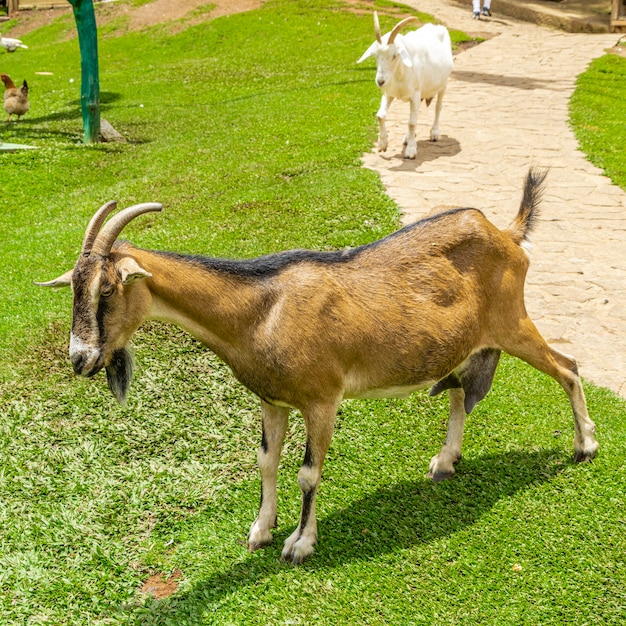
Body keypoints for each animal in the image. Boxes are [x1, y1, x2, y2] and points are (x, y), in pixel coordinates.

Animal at [37, 168, 596, 564]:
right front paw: (260, 531)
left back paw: (585, 445)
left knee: (568, 366)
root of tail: (507, 233)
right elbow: (265, 461)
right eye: (73, 287)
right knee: (461, 391)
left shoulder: (322, 399)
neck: (261, 312)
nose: (80, 359)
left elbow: (308, 473)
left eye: (107, 290)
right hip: (462, 346)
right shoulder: (272, 399)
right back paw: (444, 462)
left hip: (513, 323)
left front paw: (300, 544)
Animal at [358, 13, 450, 158]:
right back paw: (407, 137)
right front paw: (382, 144)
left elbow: (412, 123)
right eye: (375, 55)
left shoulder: (415, 95)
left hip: (443, 85)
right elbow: (380, 115)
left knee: (438, 108)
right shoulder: (389, 93)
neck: (401, 75)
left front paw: (411, 151)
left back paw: (434, 133)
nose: (380, 81)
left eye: (394, 55)